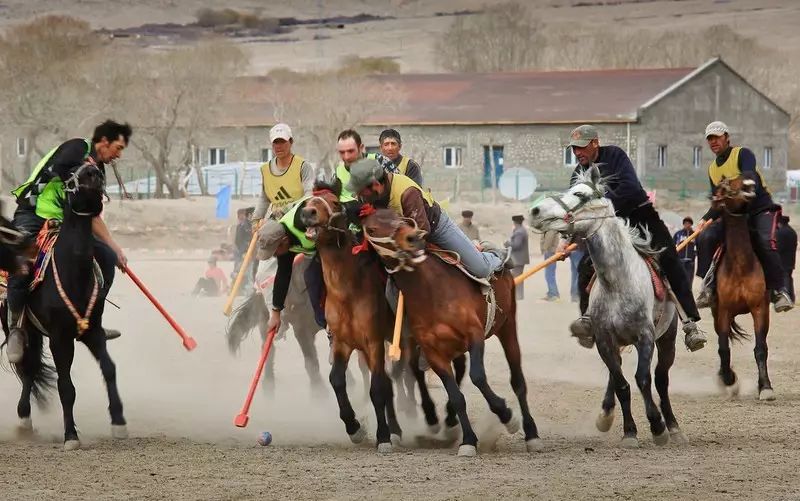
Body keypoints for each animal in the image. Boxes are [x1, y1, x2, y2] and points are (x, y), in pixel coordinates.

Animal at [360, 205, 540, 456]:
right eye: (372, 228)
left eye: (398, 216)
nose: (412, 238)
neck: (431, 292)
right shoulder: (434, 353)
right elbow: (456, 395)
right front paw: (468, 441)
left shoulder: (474, 335)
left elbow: (478, 376)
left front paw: (506, 416)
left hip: (507, 326)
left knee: (518, 381)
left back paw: (531, 434)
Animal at [528, 165, 684, 450]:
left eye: (579, 194)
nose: (535, 211)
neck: (619, 282)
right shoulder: (604, 339)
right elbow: (622, 384)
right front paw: (630, 432)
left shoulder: (646, 337)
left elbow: (643, 379)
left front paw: (658, 427)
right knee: (617, 374)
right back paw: (606, 414)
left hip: (668, 337)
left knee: (661, 378)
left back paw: (674, 427)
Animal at [712, 178, 776, 400]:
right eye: (726, 186)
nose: (749, 184)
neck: (740, 265)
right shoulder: (723, 311)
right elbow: (723, 348)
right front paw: (729, 379)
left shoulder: (759, 308)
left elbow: (760, 348)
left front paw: (765, 387)